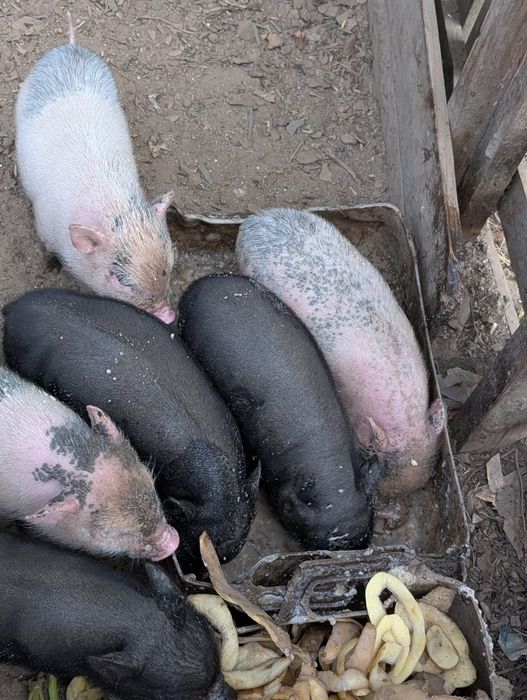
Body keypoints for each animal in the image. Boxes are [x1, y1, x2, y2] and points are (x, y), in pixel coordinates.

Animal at [15, 23, 176, 323]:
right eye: (122, 281)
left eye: (170, 264)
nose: (168, 314)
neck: (113, 205)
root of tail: (71, 46)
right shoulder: (43, 226)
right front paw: (50, 267)